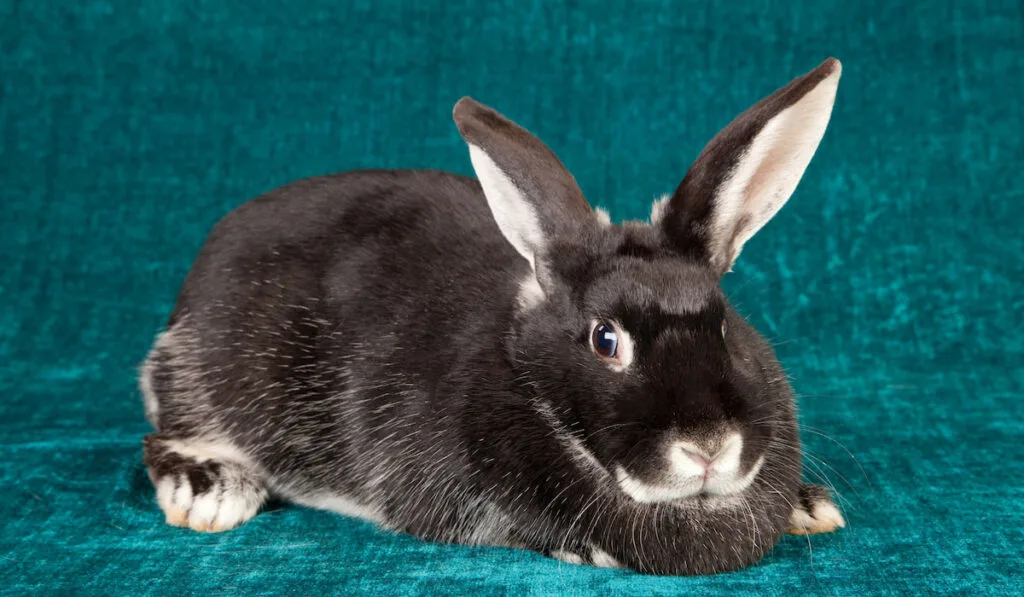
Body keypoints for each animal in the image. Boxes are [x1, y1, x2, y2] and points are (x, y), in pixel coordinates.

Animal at [142, 58, 847, 577]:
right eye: (606, 339)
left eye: (724, 324)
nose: (708, 445)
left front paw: (809, 506)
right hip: (205, 378)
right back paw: (211, 492)